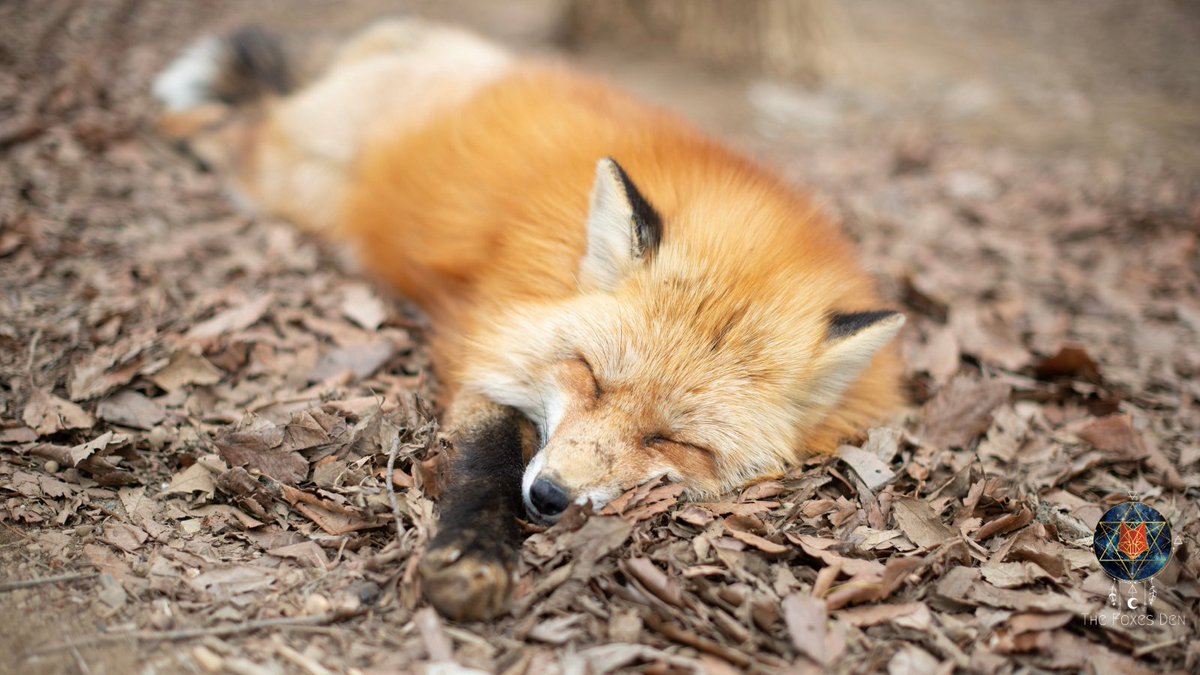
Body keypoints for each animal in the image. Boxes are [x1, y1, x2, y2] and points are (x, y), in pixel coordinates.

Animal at [153, 19, 906, 621]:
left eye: (672, 440)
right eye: (591, 377)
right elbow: (487, 461)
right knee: (232, 125)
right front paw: (473, 551)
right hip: (285, 176)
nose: (548, 496)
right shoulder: (493, 349)